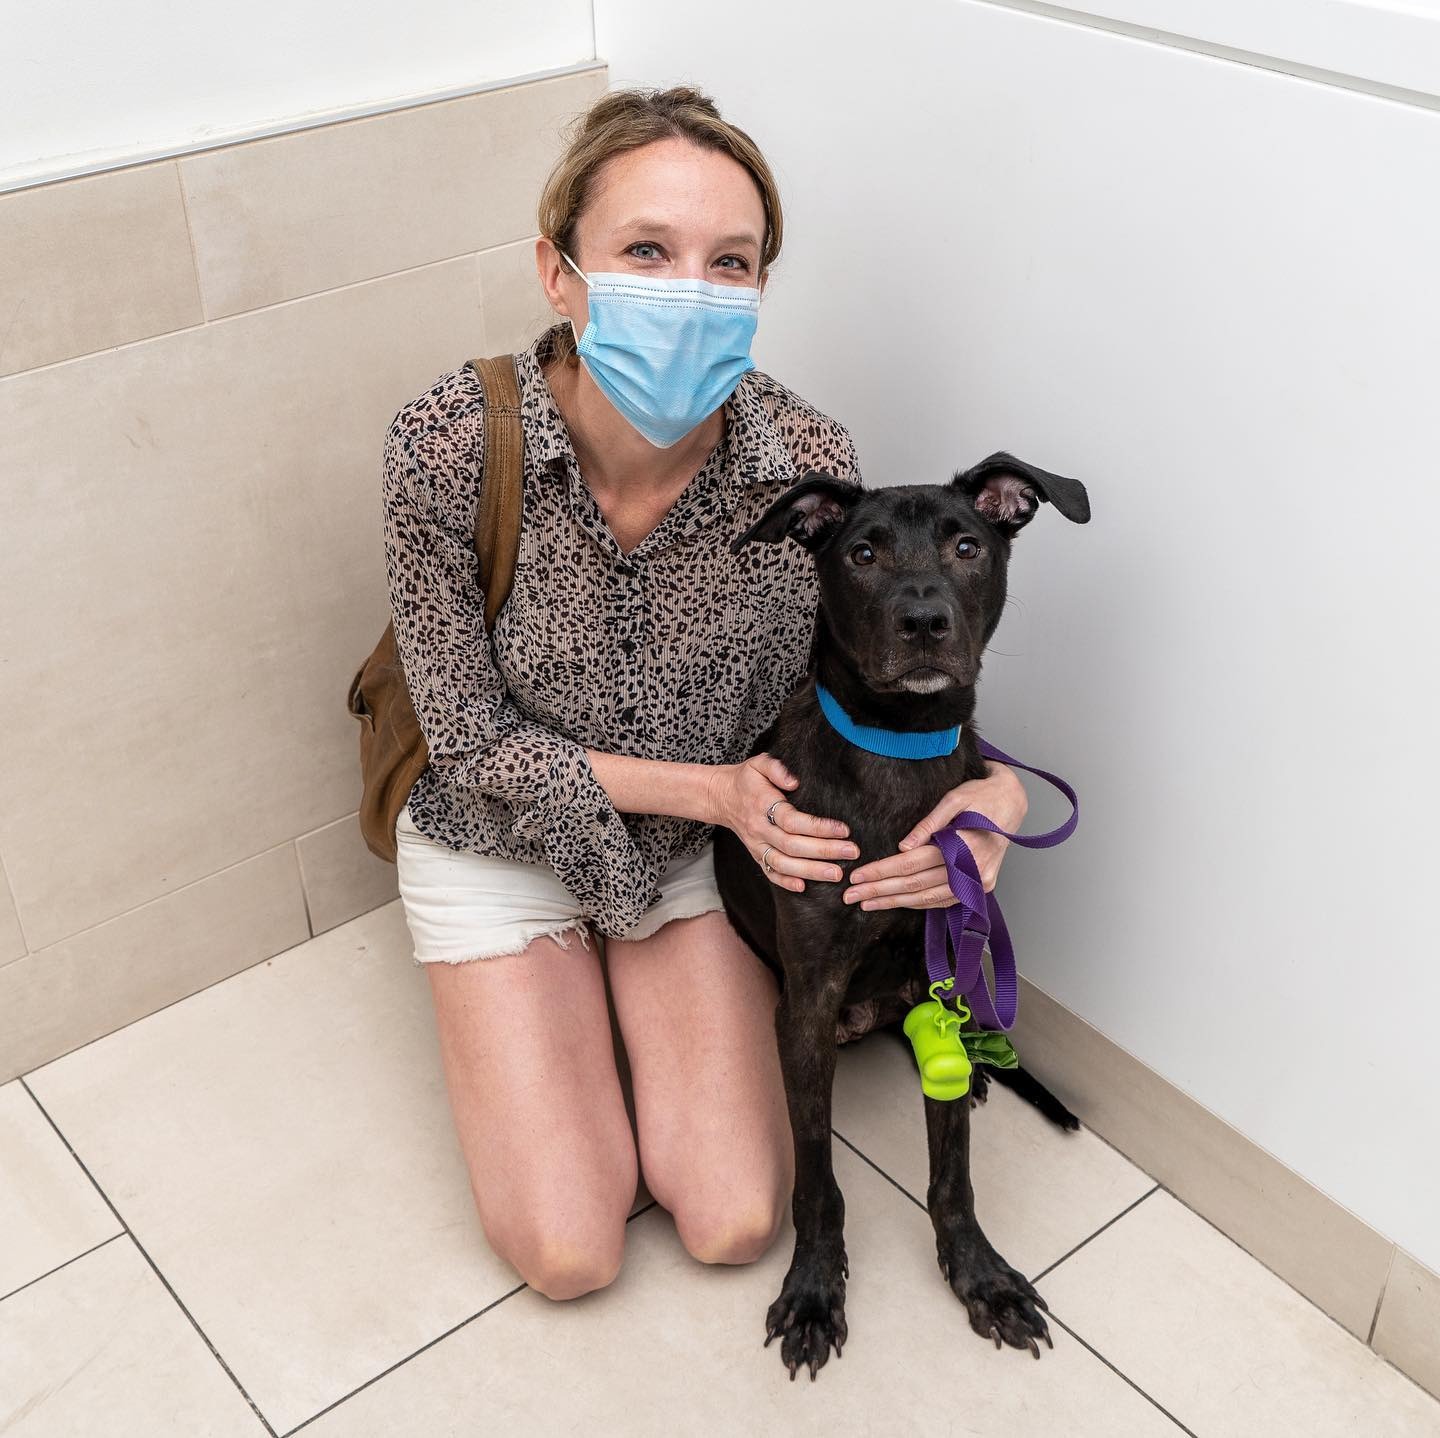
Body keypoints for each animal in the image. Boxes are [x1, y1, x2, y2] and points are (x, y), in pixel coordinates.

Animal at [708, 454, 1088, 1376]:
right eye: (863, 553)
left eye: (967, 545)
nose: (923, 621)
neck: (901, 747)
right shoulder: (807, 1002)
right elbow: (816, 1174)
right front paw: (815, 1287)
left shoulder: (942, 973)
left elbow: (953, 1171)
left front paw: (980, 1276)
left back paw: (979, 1069)